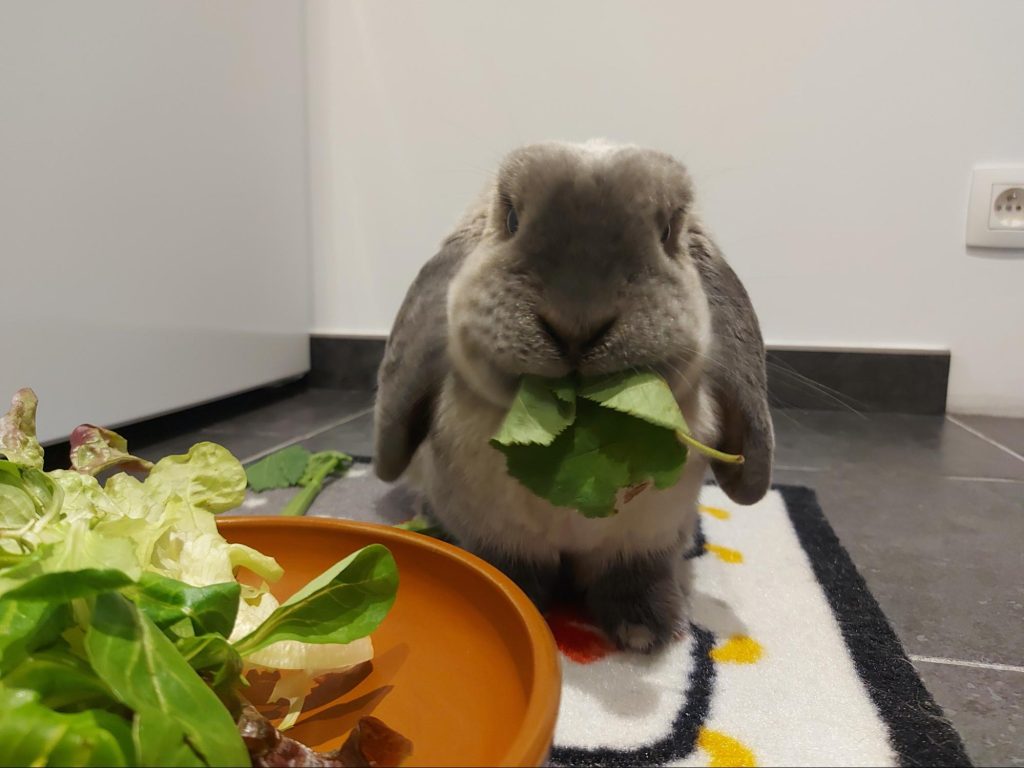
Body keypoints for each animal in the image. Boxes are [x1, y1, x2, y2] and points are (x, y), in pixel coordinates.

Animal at [373, 140, 773, 653]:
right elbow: (512, 572)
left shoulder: (644, 537)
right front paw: (516, 606)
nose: (576, 328)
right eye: (511, 220)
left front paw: (645, 633)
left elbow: (632, 573)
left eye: (667, 232)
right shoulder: (497, 533)